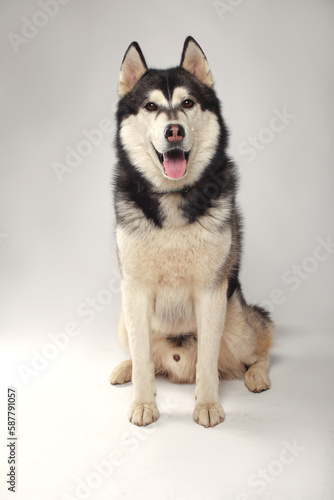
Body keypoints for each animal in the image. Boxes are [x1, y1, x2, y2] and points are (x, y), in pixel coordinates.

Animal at [111, 38, 272, 430]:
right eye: (151, 105)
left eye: (187, 103)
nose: (174, 131)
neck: (172, 195)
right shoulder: (134, 290)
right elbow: (142, 358)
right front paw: (143, 402)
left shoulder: (210, 292)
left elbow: (208, 363)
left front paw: (208, 404)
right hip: (123, 318)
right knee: (143, 355)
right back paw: (125, 368)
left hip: (239, 324)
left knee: (261, 348)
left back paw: (257, 375)